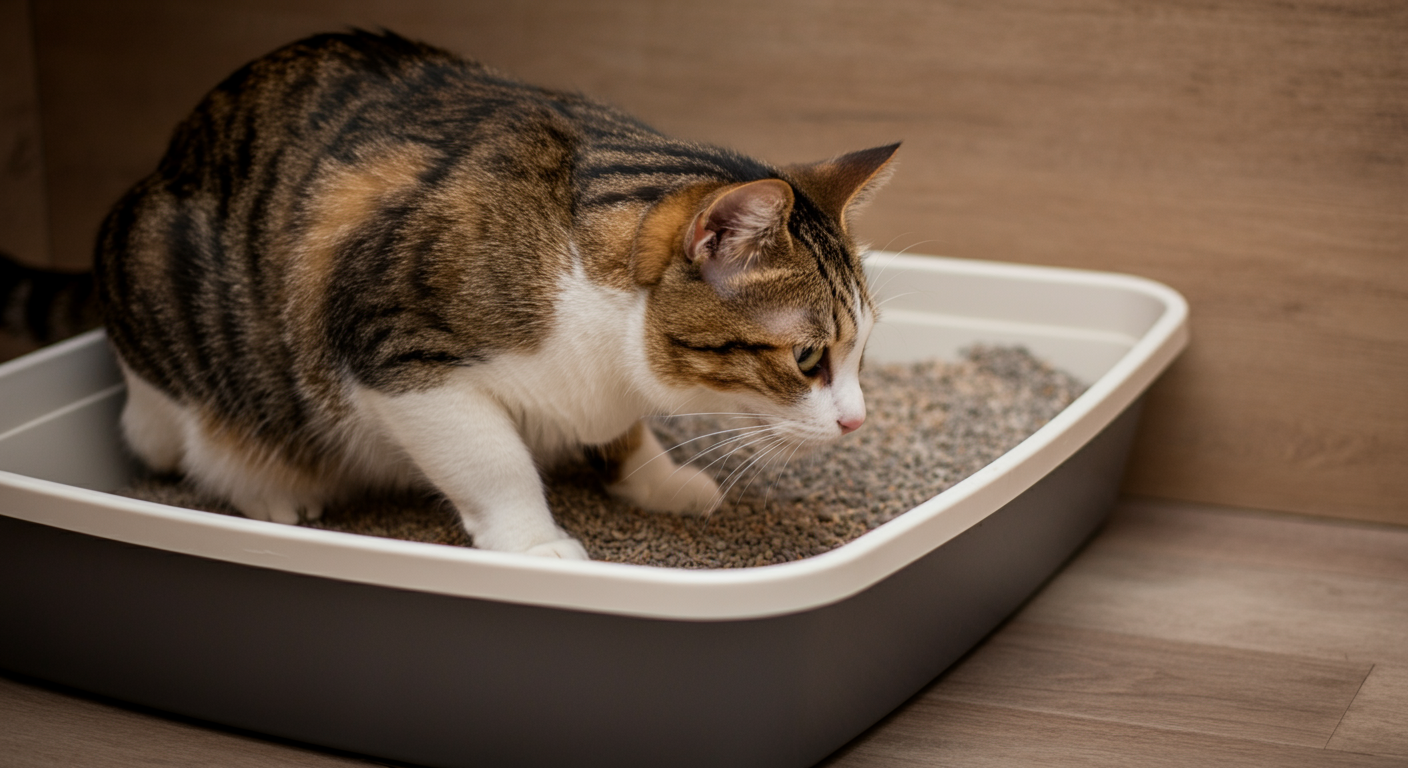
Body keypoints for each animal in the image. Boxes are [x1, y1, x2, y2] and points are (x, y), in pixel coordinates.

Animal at [93, 29, 895, 560]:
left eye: (861, 353)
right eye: (807, 357)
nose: (857, 422)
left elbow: (625, 431)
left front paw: (660, 482)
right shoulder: (399, 353)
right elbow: (494, 462)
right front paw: (536, 545)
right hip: (179, 331)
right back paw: (267, 490)